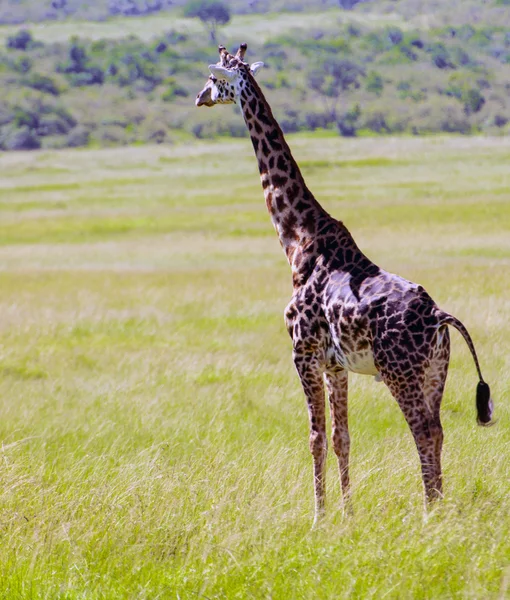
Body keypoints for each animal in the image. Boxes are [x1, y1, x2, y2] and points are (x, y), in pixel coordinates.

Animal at [194, 43, 490, 520]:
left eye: (215, 78)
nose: (200, 98)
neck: (297, 239)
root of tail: (439, 316)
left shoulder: (303, 352)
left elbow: (315, 438)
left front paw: (317, 517)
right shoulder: (336, 364)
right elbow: (341, 438)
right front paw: (347, 514)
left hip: (401, 373)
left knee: (424, 431)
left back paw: (429, 513)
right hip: (436, 371)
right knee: (439, 429)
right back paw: (438, 507)